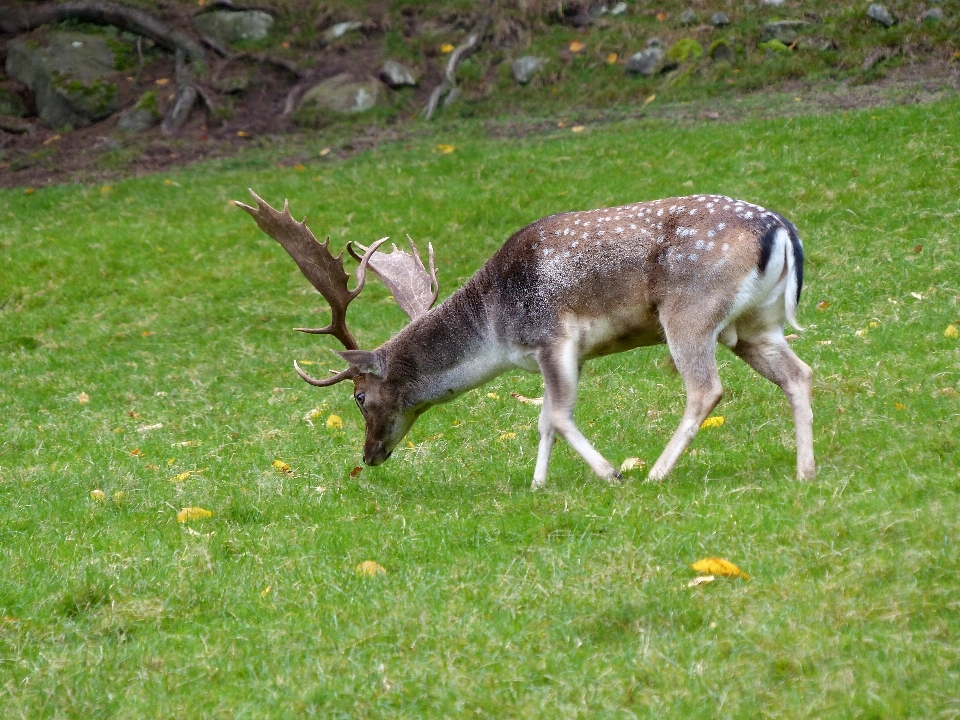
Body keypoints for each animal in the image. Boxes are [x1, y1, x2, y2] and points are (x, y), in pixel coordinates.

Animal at [236, 188, 812, 490]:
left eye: (358, 397)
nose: (370, 455)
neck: (497, 330)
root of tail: (782, 231)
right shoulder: (553, 355)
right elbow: (543, 419)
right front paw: (537, 485)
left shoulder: (552, 336)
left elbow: (556, 413)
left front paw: (609, 473)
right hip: (755, 324)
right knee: (800, 374)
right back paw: (805, 470)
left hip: (690, 312)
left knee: (705, 388)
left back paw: (654, 473)